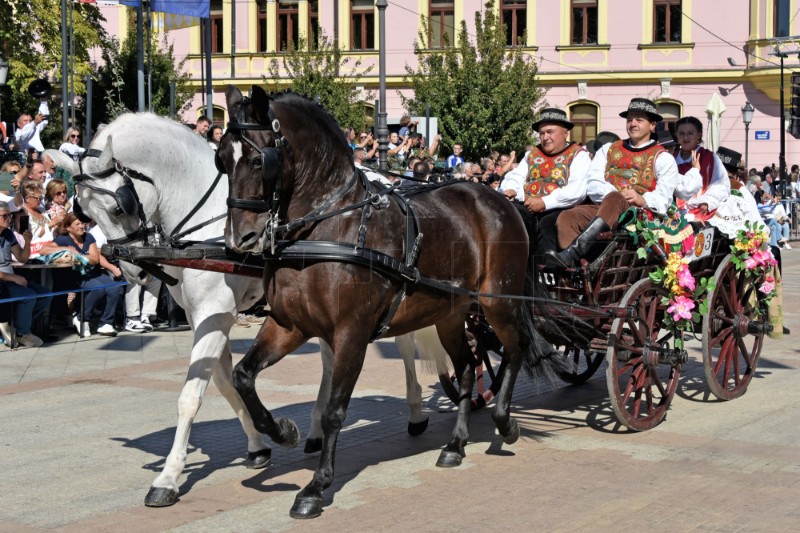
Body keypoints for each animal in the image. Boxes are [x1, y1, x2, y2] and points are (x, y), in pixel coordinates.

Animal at [47, 113, 438, 508]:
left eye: (119, 207)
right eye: (82, 210)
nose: (131, 271)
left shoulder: (216, 312)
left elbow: (191, 395)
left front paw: (168, 477)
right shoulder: (203, 317)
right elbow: (223, 381)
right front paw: (260, 445)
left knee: (403, 345)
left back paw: (415, 411)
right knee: (331, 360)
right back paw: (316, 429)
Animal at [216, 86, 560, 516]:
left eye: (259, 160)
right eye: (221, 159)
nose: (239, 239)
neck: (329, 226)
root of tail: (500, 198)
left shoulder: (352, 333)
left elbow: (335, 410)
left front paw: (316, 486)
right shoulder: (287, 326)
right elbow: (244, 376)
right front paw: (283, 431)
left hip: (499, 302)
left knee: (516, 350)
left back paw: (505, 421)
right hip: (450, 315)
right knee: (467, 367)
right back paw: (456, 444)